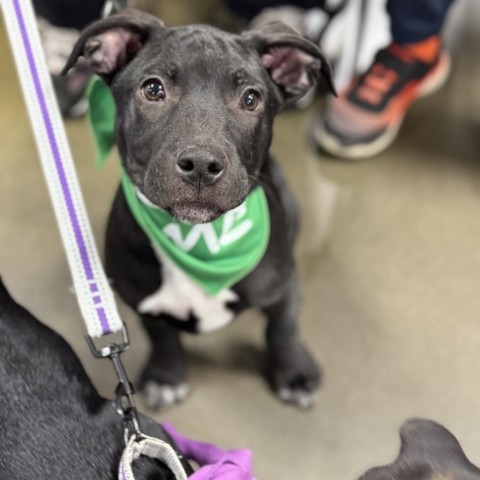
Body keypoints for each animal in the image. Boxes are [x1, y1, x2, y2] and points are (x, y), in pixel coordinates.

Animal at [63, 8, 336, 408]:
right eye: (153, 89)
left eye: (251, 98)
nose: (202, 165)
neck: (199, 236)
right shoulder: (142, 299)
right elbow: (162, 336)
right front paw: (166, 376)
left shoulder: (284, 284)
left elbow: (283, 328)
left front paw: (295, 373)